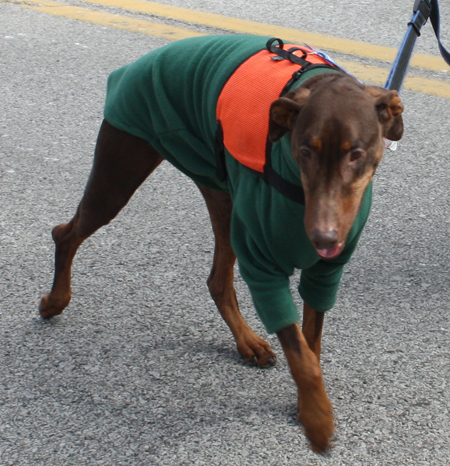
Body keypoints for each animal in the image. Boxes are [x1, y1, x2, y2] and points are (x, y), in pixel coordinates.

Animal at [39, 38, 404, 454]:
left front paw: (308, 405)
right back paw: (55, 301)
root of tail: (133, 66)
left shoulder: (325, 273)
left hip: (224, 198)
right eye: (304, 151)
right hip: (119, 173)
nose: (323, 238)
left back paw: (247, 343)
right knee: (65, 233)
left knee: (217, 280)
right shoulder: (262, 266)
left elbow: (311, 343)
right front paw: (317, 420)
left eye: (355, 153)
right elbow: (301, 355)